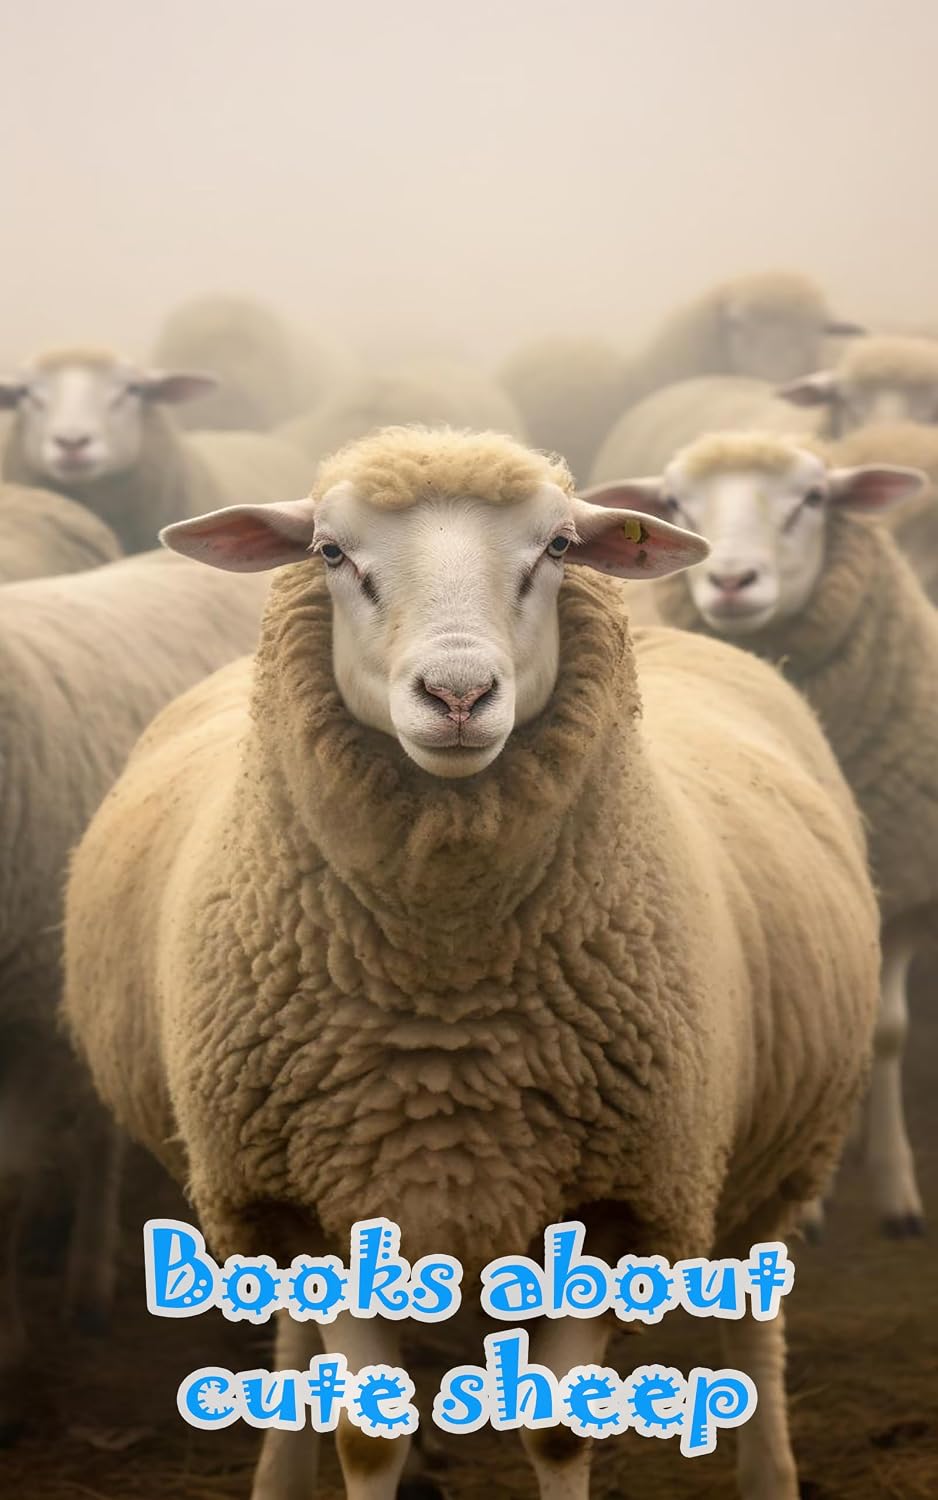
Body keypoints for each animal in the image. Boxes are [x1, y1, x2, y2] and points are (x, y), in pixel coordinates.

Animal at [63, 426, 880, 1500]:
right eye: (330, 552)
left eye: (560, 547)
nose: (458, 694)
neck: (444, 1005)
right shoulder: (317, 1197)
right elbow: (365, 1433)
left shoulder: (619, 1198)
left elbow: (562, 1431)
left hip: (779, 1155)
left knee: (755, 1317)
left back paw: (770, 1469)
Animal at [585, 431, 936, 1240]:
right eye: (675, 503)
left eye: (814, 498)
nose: (731, 580)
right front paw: (812, 1206)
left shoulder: (902, 888)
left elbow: (888, 1032)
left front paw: (896, 1188)